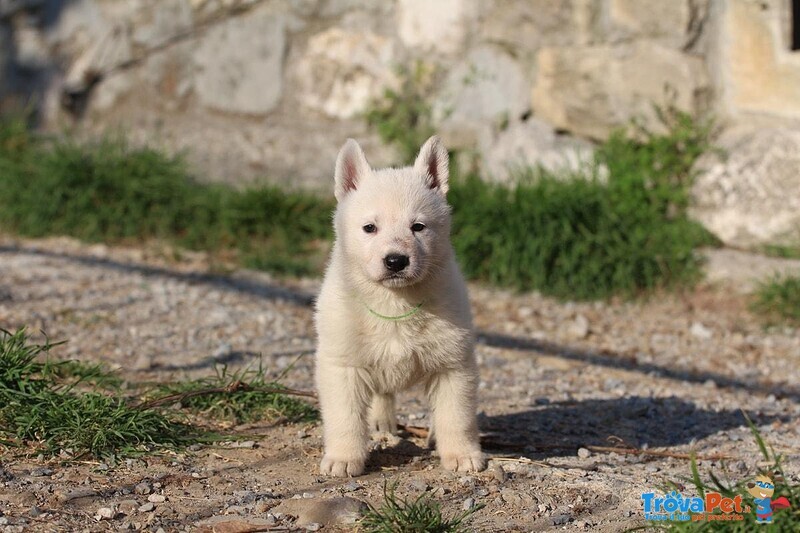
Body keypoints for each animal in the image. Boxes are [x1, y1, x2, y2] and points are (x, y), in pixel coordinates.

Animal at [316, 135, 484, 476]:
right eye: (370, 228)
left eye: (418, 227)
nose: (396, 261)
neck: (394, 304)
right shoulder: (342, 366)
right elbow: (345, 418)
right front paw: (343, 458)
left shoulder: (453, 366)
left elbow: (456, 416)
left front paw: (462, 454)